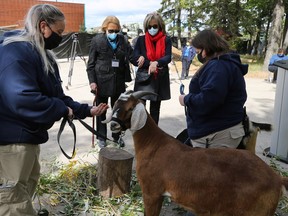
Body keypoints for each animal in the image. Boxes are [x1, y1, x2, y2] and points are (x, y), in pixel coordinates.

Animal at [105, 90, 288, 215]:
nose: (113, 125)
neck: (154, 144)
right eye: (115, 105)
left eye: (130, 108)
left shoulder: (152, 192)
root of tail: (277, 178)